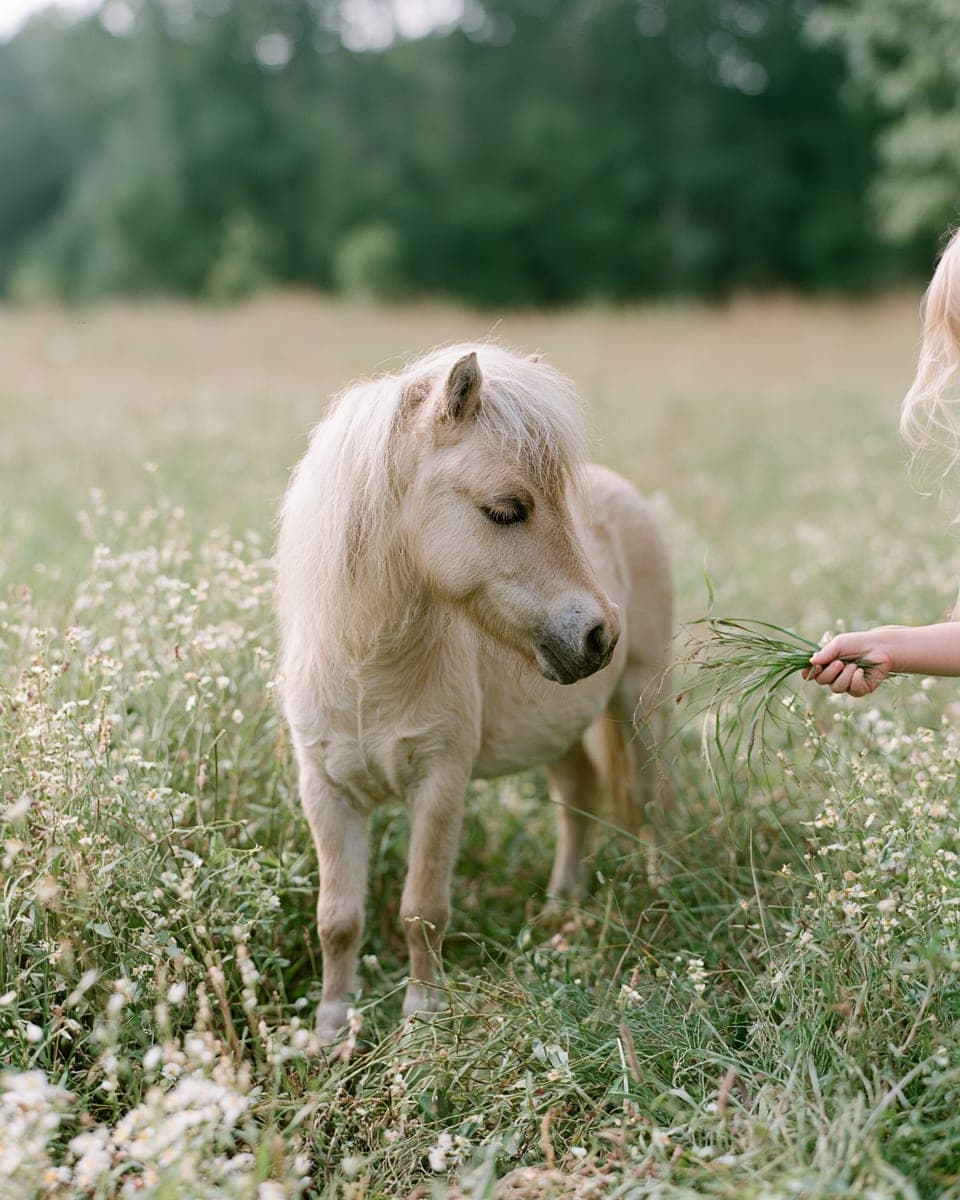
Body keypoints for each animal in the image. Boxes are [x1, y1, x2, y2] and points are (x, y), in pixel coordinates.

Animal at [276, 343, 673, 1048]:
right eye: (506, 509)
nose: (599, 637)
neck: (365, 672)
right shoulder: (325, 791)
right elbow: (338, 919)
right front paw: (329, 1032)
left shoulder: (440, 783)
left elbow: (422, 909)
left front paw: (421, 1021)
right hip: (556, 730)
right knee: (579, 796)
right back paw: (558, 910)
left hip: (642, 705)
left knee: (654, 802)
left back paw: (659, 903)